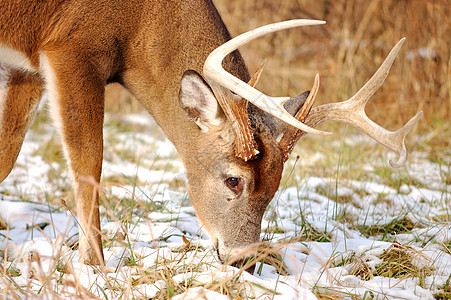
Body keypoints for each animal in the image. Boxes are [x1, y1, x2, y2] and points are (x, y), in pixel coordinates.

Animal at [0, 0, 424, 268]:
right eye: (234, 180)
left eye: (275, 187)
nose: (244, 260)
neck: (142, 23)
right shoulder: (73, 48)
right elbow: (89, 164)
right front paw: (95, 268)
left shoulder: (26, 67)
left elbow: (7, 153)